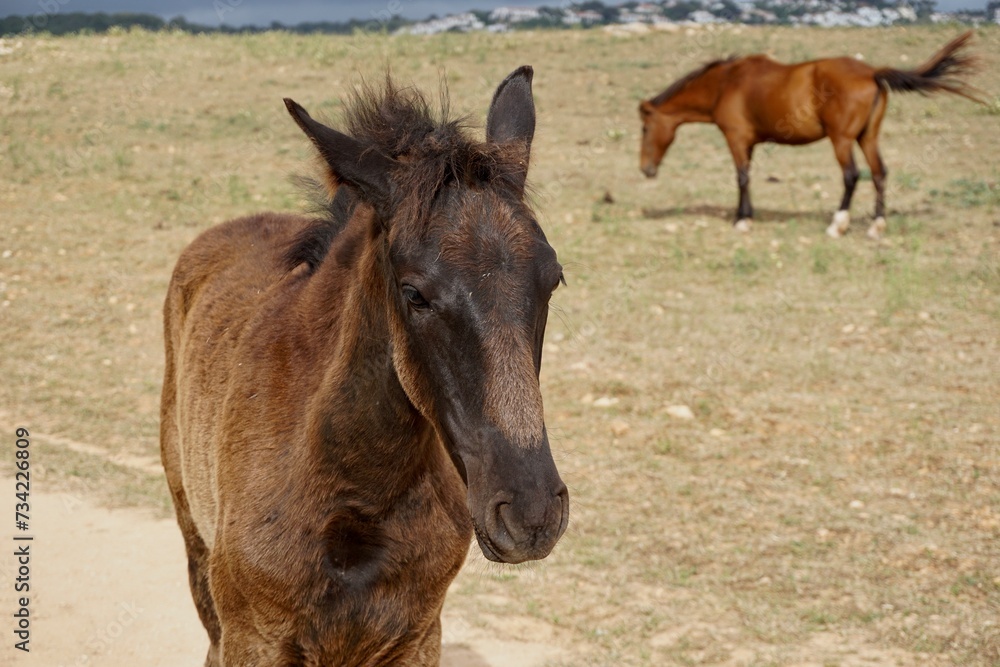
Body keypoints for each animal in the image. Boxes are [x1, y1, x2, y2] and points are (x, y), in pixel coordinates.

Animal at [160, 66, 569, 666]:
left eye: (553, 278)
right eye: (414, 293)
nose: (531, 513)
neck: (360, 502)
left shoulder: (418, 639)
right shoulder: (252, 639)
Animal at [639, 31, 982, 239]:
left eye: (644, 127)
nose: (646, 169)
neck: (726, 83)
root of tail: (872, 72)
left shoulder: (736, 139)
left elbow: (742, 177)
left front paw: (741, 220)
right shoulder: (749, 144)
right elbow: (747, 177)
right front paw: (747, 215)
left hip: (842, 140)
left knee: (852, 175)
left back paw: (837, 225)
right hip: (867, 137)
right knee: (879, 173)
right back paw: (876, 226)